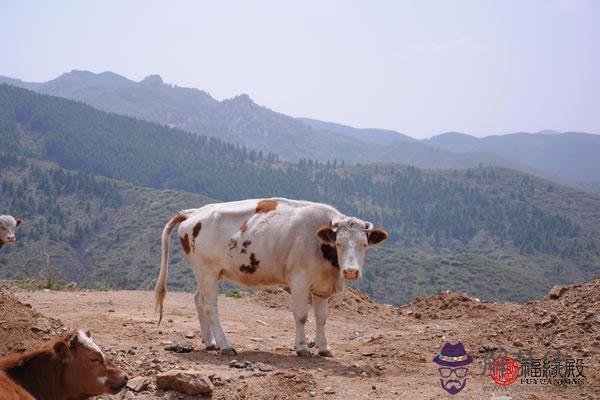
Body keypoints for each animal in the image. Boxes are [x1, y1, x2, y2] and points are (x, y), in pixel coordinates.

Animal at [156, 198, 390, 358]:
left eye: (364, 244)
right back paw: (225, 345)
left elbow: (322, 317)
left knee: (198, 299)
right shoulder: (299, 280)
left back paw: (209, 342)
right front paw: (302, 348)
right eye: (338, 243)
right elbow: (301, 315)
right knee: (209, 305)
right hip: (208, 271)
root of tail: (194, 212)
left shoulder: (322, 285)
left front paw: (324, 348)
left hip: (205, 273)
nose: (350, 271)